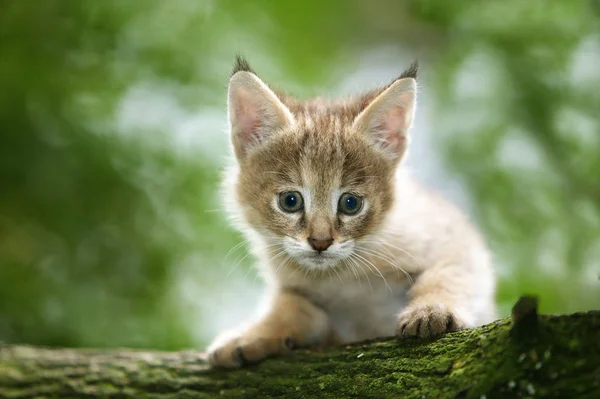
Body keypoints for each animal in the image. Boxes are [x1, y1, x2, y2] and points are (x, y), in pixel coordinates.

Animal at [206, 55, 496, 368]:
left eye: (350, 203)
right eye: (290, 201)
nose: (320, 242)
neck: (340, 277)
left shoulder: (456, 237)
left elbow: (449, 274)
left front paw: (432, 309)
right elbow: (290, 307)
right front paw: (252, 334)